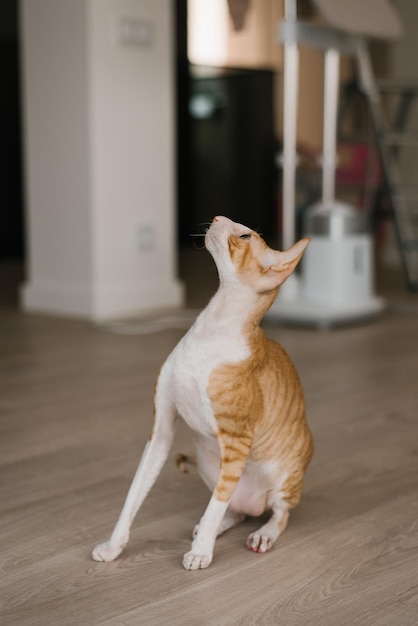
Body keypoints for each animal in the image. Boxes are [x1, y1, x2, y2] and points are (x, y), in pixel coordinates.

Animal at [92, 217, 314, 568]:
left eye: (244, 235)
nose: (218, 218)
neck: (211, 328)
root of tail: (255, 504)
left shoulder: (237, 441)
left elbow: (217, 504)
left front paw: (200, 554)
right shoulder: (161, 431)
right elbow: (133, 495)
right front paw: (114, 546)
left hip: (283, 473)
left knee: (276, 513)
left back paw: (261, 533)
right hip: (208, 458)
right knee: (234, 509)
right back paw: (217, 525)